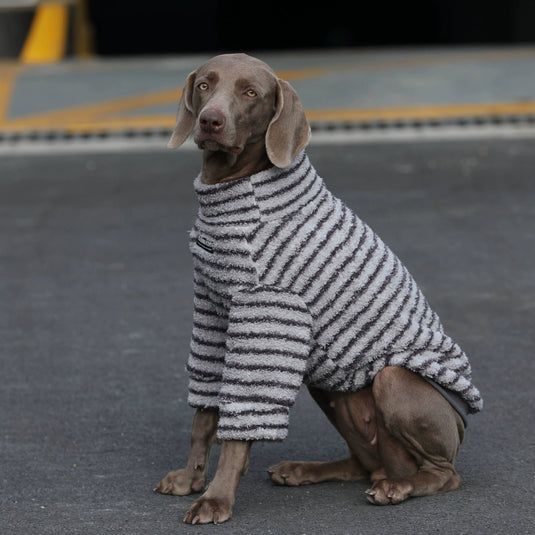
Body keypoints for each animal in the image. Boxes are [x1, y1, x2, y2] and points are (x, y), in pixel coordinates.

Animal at [153, 53, 484, 524]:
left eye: (250, 92)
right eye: (204, 84)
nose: (211, 121)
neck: (233, 192)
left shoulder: (269, 320)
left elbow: (240, 425)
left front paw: (216, 498)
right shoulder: (213, 314)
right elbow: (204, 414)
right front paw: (190, 478)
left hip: (396, 385)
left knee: (441, 474)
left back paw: (399, 488)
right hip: (330, 387)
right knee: (365, 465)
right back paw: (306, 470)